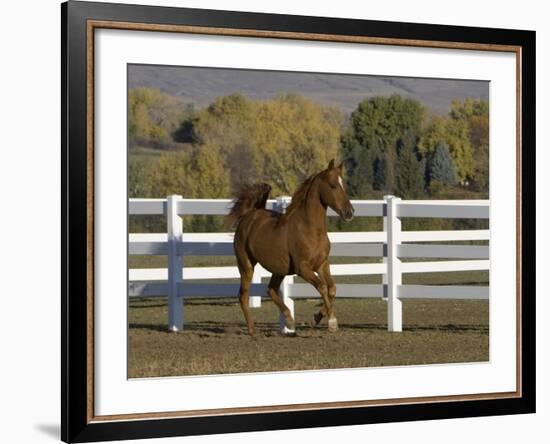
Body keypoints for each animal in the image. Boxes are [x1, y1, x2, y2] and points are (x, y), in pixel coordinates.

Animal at [227, 159, 354, 332]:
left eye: (344, 185)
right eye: (333, 185)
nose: (350, 212)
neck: (310, 229)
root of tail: (249, 215)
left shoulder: (322, 264)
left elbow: (332, 289)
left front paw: (317, 318)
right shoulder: (303, 269)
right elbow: (322, 287)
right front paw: (332, 322)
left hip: (278, 269)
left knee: (270, 289)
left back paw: (289, 320)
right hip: (246, 265)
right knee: (243, 295)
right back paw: (252, 330)